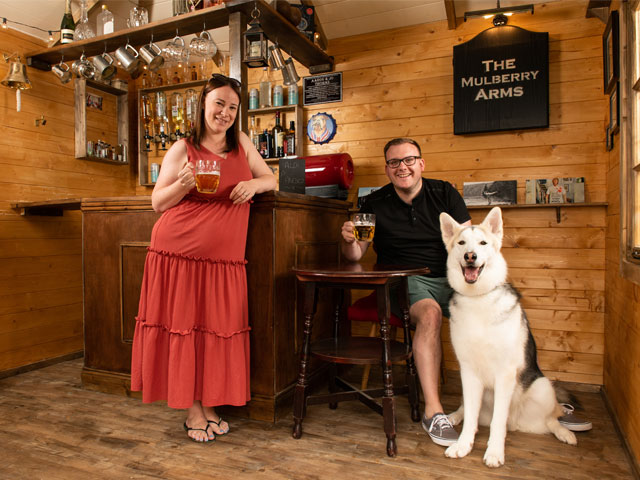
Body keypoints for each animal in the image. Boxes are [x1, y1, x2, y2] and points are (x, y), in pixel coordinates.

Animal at [438, 208, 576, 466]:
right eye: (461, 243)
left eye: (482, 243)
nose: (470, 256)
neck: (478, 298)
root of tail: (517, 423)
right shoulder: (468, 372)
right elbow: (470, 417)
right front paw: (463, 444)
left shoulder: (505, 374)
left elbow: (497, 421)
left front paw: (494, 451)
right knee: (468, 410)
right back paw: (454, 416)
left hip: (542, 387)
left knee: (552, 418)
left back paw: (565, 432)